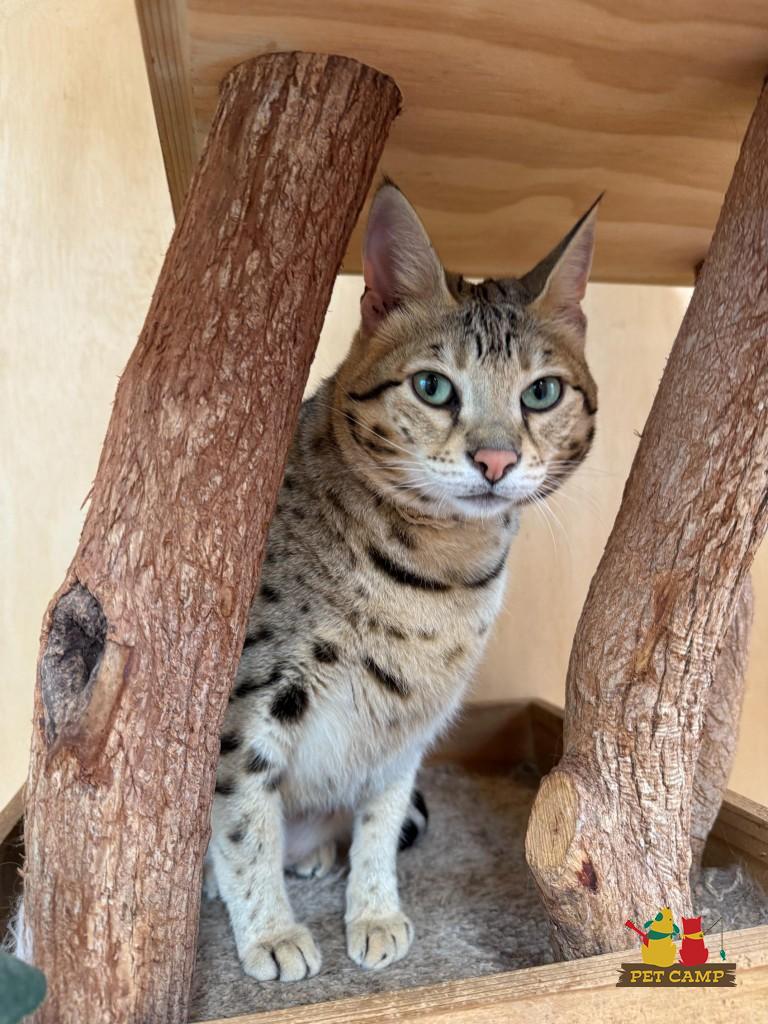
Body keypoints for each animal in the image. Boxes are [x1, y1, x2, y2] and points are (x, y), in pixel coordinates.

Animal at [206, 181, 599, 982]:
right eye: (432, 387)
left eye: (542, 393)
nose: (495, 461)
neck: (437, 573)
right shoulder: (249, 700)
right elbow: (243, 820)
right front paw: (269, 931)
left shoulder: (410, 724)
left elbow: (381, 825)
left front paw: (375, 911)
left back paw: (319, 853)